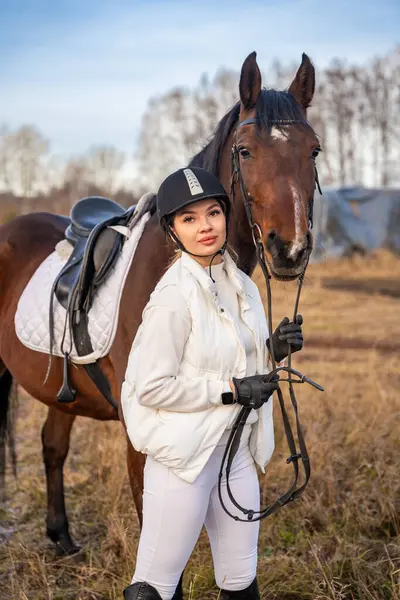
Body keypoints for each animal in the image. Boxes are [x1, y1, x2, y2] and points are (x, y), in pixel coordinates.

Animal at [0, 50, 318, 556]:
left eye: (314, 151)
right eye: (245, 151)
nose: (290, 249)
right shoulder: (143, 433)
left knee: (53, 446)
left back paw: (62, 536)